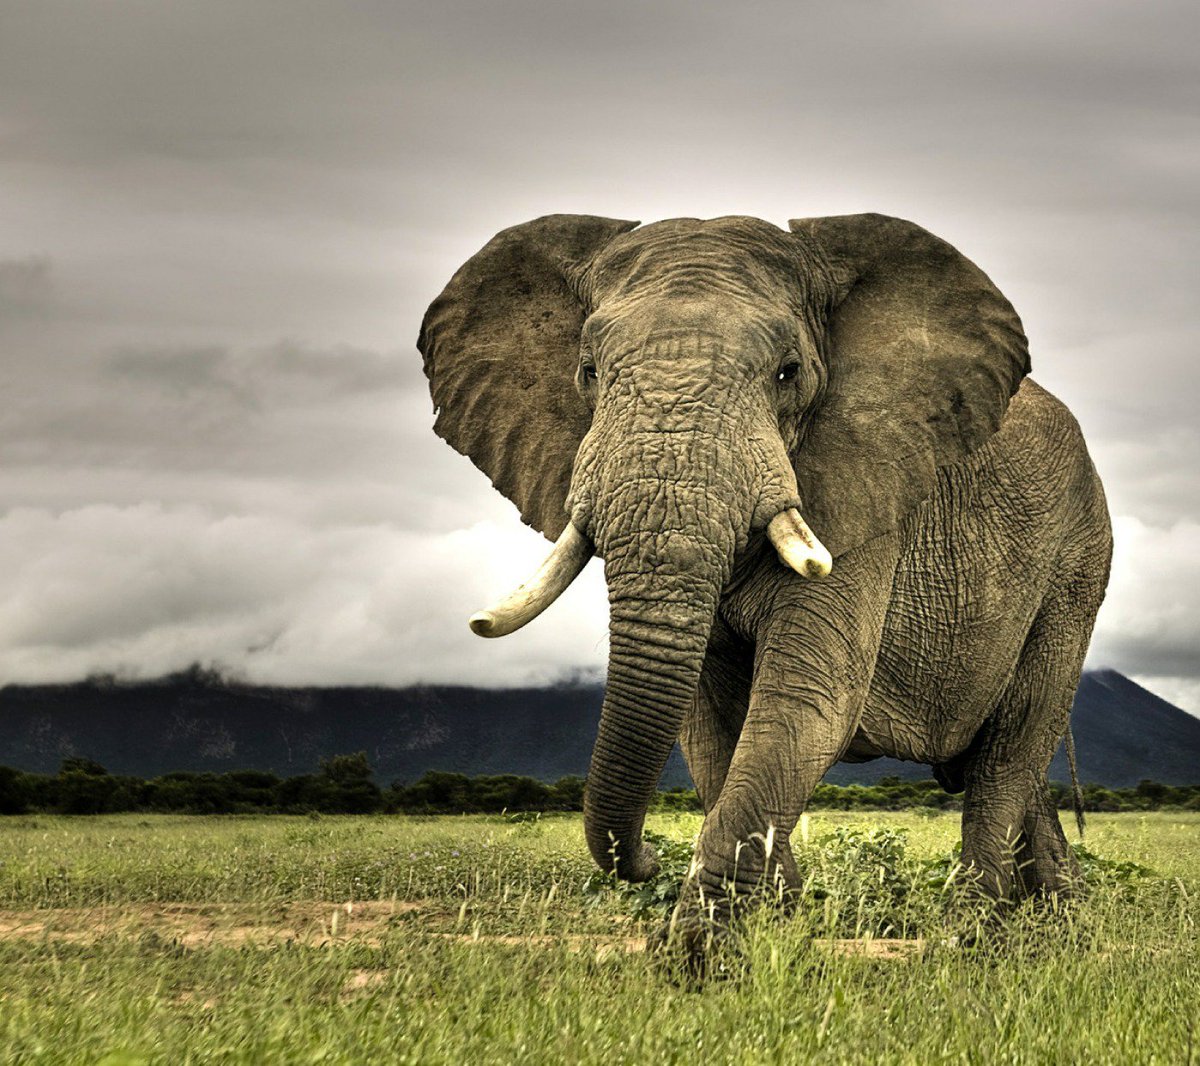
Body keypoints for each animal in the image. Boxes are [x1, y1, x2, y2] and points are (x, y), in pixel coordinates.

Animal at [417, 212, 1111, 949]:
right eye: (589, 372)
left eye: (788, 372)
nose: (645, 857)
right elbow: (708, 726)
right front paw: (777, 927)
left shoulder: (865, 493)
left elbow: (806, 701)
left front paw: (699, 958)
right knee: (1009, 767)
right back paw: (1056, 926)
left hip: (1077, 564)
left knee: (1009, 751)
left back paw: (973, 942)